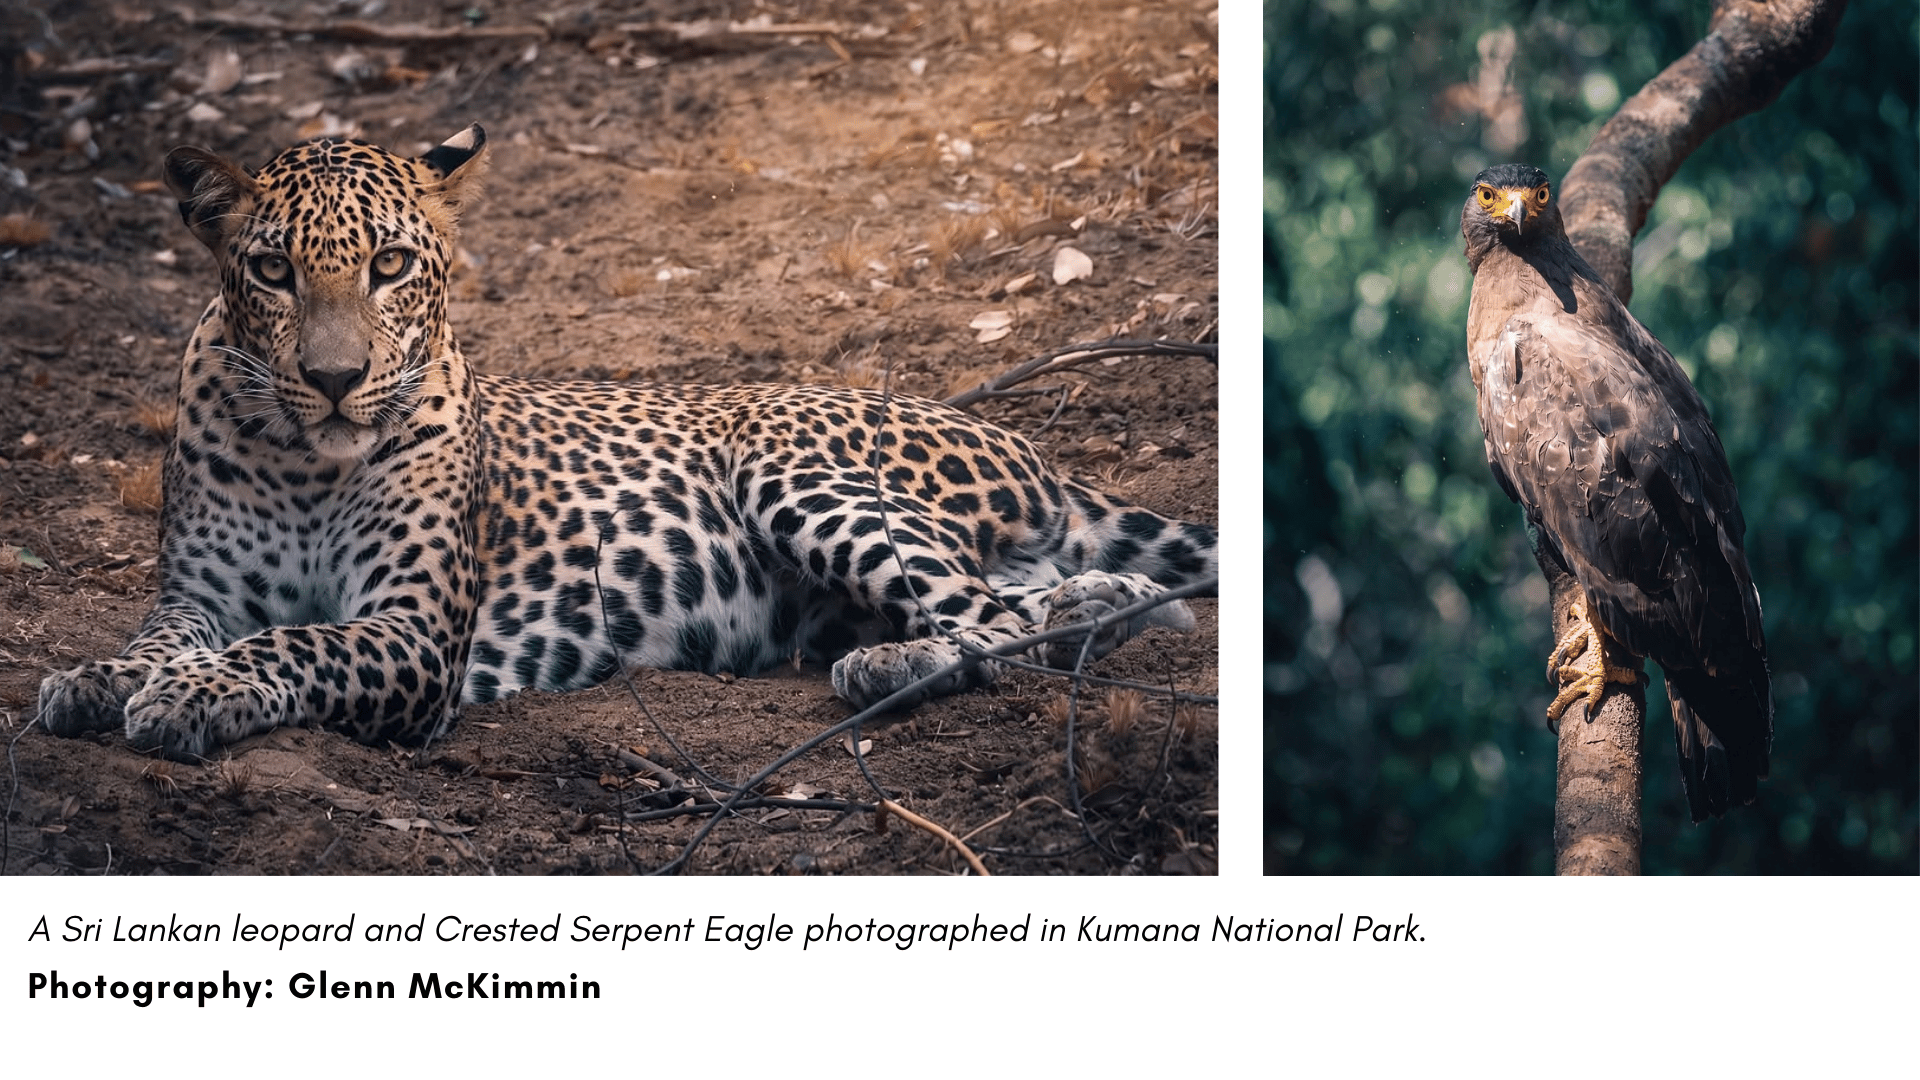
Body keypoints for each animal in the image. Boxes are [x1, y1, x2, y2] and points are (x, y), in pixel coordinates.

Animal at [35, 124, 1217, 762]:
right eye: (274, 272)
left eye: (389, 266)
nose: (333, 380)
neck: (300, 464)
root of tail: (1023, 444)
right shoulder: (198, 594)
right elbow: (163, 638)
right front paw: (98, 678)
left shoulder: (412, 631)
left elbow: (293, 644)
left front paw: (188, 698)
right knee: (1059, 602)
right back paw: (1076, 610)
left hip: (786, 458)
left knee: (990, 621)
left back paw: (894, 664)